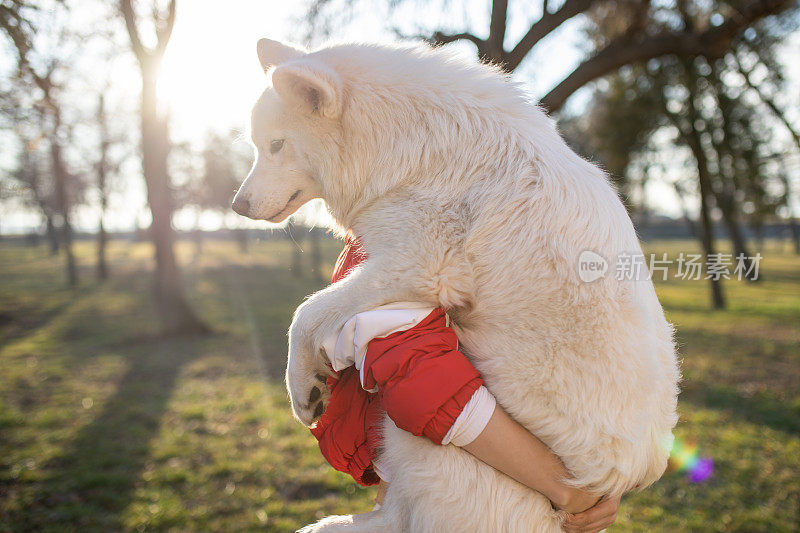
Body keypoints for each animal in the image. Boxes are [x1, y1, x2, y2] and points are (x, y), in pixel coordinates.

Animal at [233, 38, 680, 532]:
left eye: (276, 145)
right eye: (259, 146)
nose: (237, 204)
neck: (408, 141)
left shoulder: (413, 265)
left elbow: (306, 313)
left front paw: (302, 392)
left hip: (418, 436)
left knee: (402, 515)